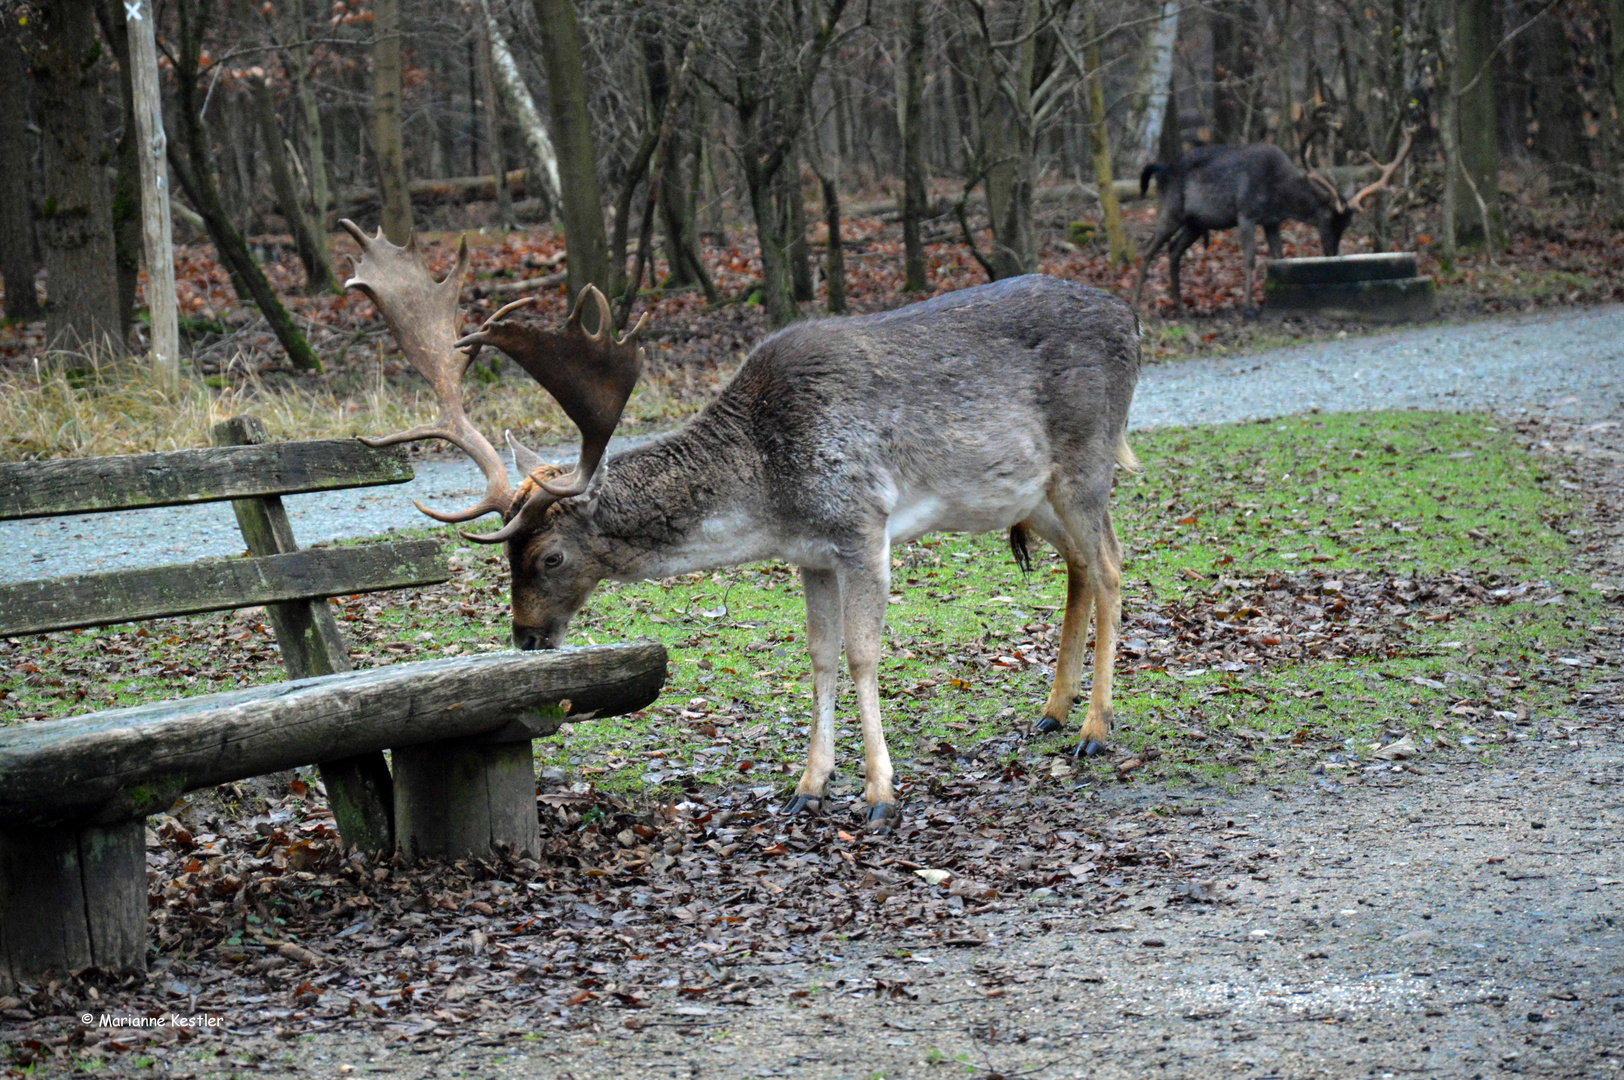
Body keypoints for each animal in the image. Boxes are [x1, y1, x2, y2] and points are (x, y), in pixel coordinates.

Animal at [336, 219, 1136, 825]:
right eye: (509, 557)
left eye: (550, 558)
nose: (525, 637)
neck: (770, 489)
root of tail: (1129, 317)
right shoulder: (810, 554)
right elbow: (817, 656)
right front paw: (809, 788)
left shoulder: (861, 524)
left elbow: (862, 655)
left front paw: (879, 796)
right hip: (1034, 495)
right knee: (1079, 566)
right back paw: (1052, 711)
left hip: (1086, 459)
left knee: (1111, 565)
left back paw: (1094, 730)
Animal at [1130, 129, 1409, 313]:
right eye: (1327, 218)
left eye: (1347, 225)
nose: (1331, 252)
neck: (1279, 194)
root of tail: (1161, 170)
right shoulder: (1246, 214)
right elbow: (1250, 258)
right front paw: (1247, 308)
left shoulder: (1272, 221)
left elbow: (1279, 257)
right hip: (1171, 210)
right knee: (1148, 249)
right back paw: (1135, 303)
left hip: (1196, 223)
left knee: (1173, 250)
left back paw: (1180, 306)